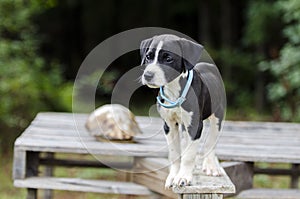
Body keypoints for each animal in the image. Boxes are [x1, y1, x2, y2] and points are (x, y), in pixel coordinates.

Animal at [140, 34, 225, 188]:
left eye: (168, 58)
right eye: (148, 57)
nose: (148, 75)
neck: (174, 89)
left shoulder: (195, 125)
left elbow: (189, 155)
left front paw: (183, 177)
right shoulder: (169, 125)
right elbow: (175, 153)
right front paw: (173, 176)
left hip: (218, 117)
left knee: (211, 142)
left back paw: (211, 166)